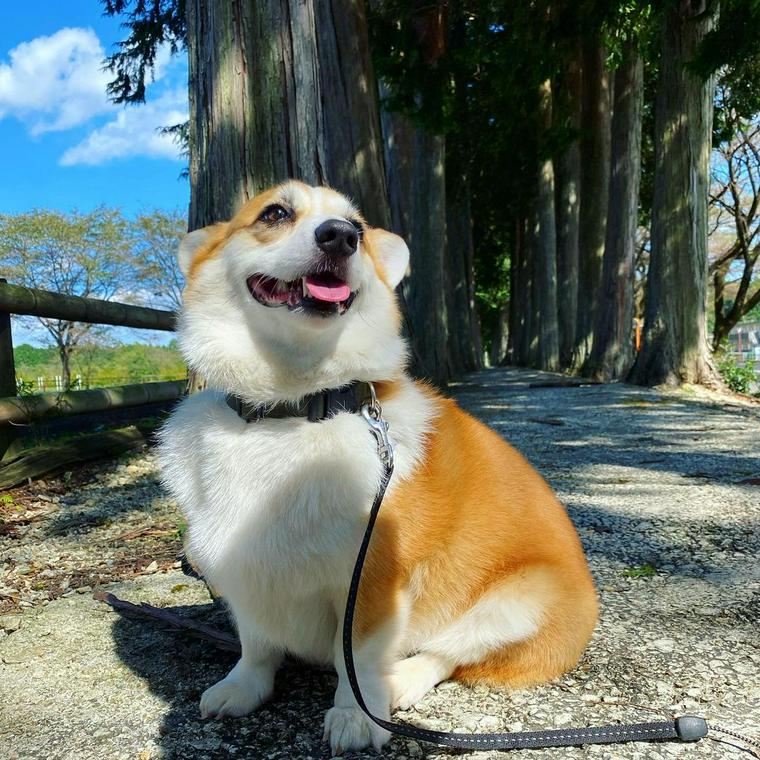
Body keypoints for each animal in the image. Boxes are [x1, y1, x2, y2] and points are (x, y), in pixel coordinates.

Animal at [159, 183, 600, 756]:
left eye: (359, 228)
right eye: (275, 213)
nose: (340, 236)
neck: (294, 407)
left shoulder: (374, 580)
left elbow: (360, 655)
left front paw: (355, 716)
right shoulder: (243, 575)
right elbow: (255, 645)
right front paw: (241, 687)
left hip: (523, 602)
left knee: (447, 654)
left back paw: (401, 682)